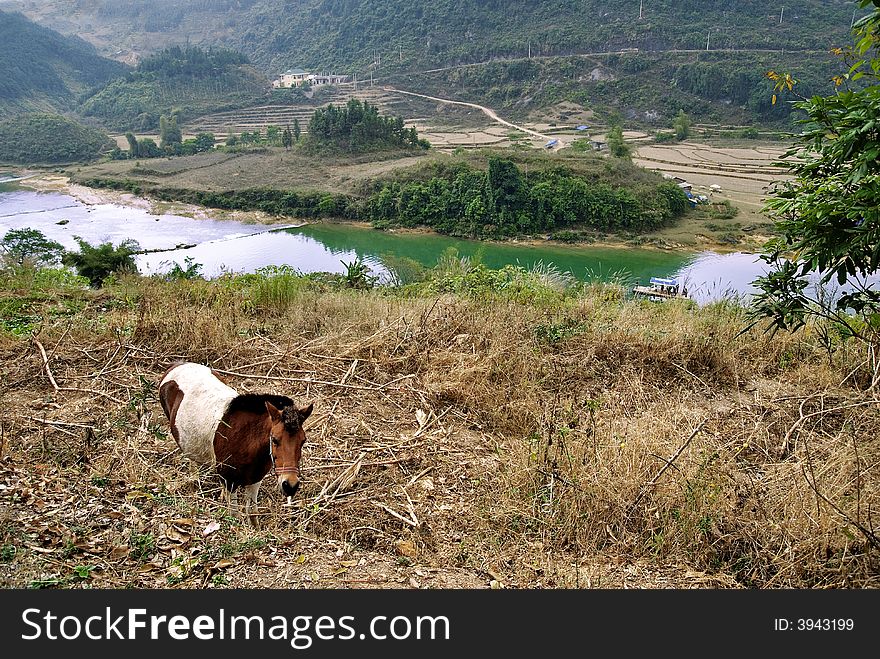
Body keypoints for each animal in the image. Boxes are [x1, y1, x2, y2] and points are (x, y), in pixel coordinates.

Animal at [157, 360, 312, 524]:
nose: (290, 485)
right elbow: (234, 516)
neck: (245, 441)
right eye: (275, 440)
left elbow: (252, 513)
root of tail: (176, 365)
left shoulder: (255, 479)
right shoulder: (230, 481)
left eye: (303, 441)